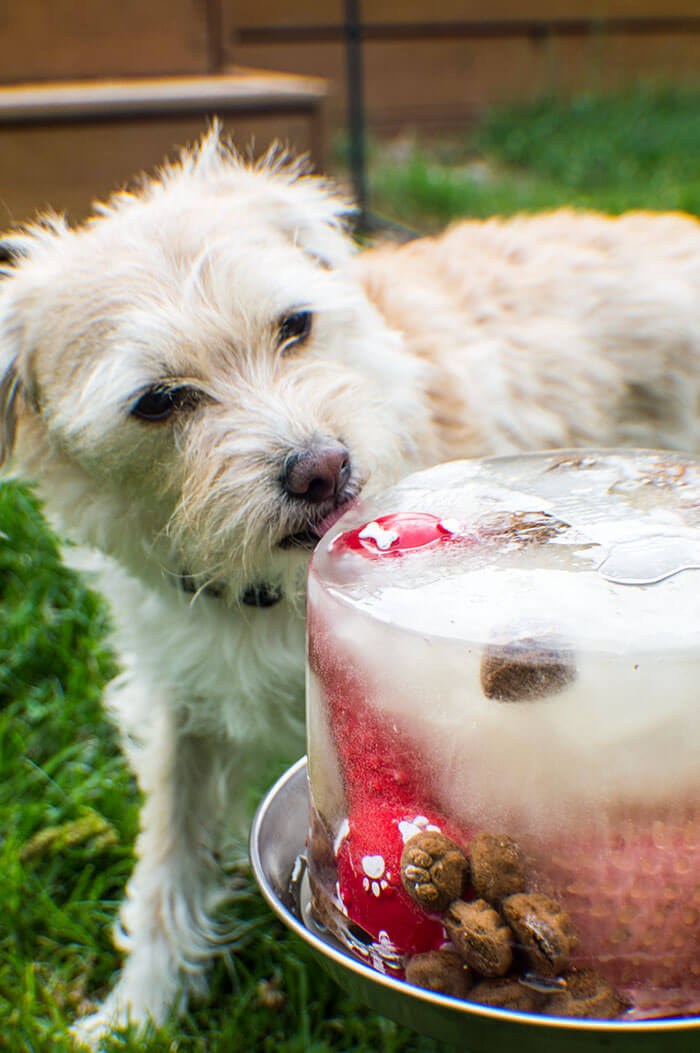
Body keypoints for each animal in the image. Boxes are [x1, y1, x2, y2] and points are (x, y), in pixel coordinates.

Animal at [1, 127, 698, 1040]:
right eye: (156, 401)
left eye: (294, 325)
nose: (322, 468)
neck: (268, 584)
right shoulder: (177, 701)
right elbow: (168, 855)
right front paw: (141, 1007)